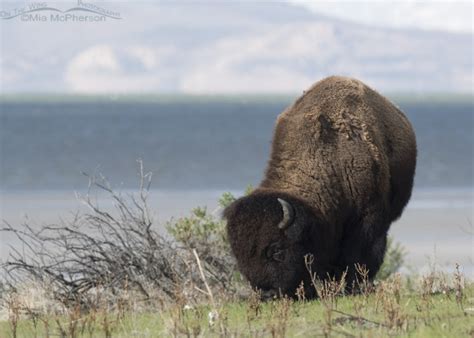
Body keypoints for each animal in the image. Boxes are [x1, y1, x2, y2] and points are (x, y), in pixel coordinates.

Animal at [224, 76, 416, 298]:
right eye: (239, 255)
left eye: (277, 250)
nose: (266, 294)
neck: (331, 158)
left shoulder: (368, 219)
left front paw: (353, 286)